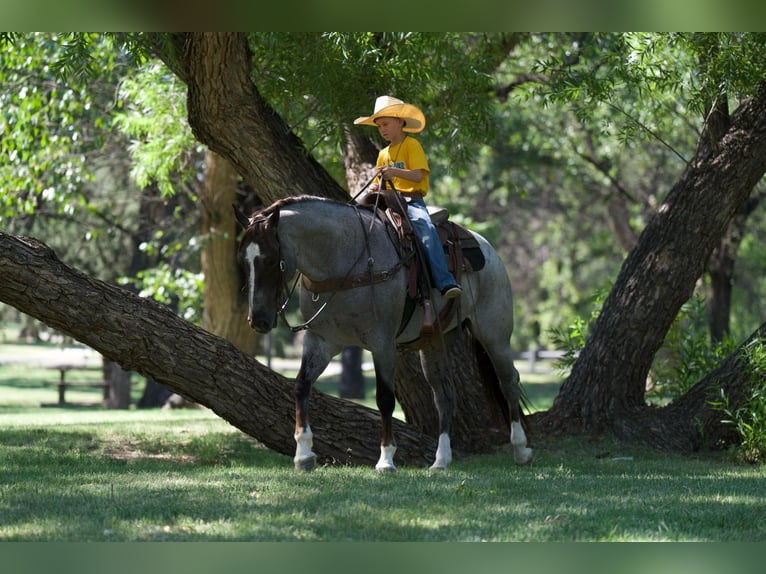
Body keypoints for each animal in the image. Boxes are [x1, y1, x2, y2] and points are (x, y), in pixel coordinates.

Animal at [235, 194, 532, 472]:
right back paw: (441, 460)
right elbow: (301, 386)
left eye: (270, 260)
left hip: (494, 335)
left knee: (509, 382)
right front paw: (304, 454)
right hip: (434, 343)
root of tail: (487, 249)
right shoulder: (320, 341)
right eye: (243, 261)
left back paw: (521, 449)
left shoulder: (382, 344)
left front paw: (386, 459)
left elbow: (385, 399)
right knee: (444, 396)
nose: (258, 320)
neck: (343, 260)